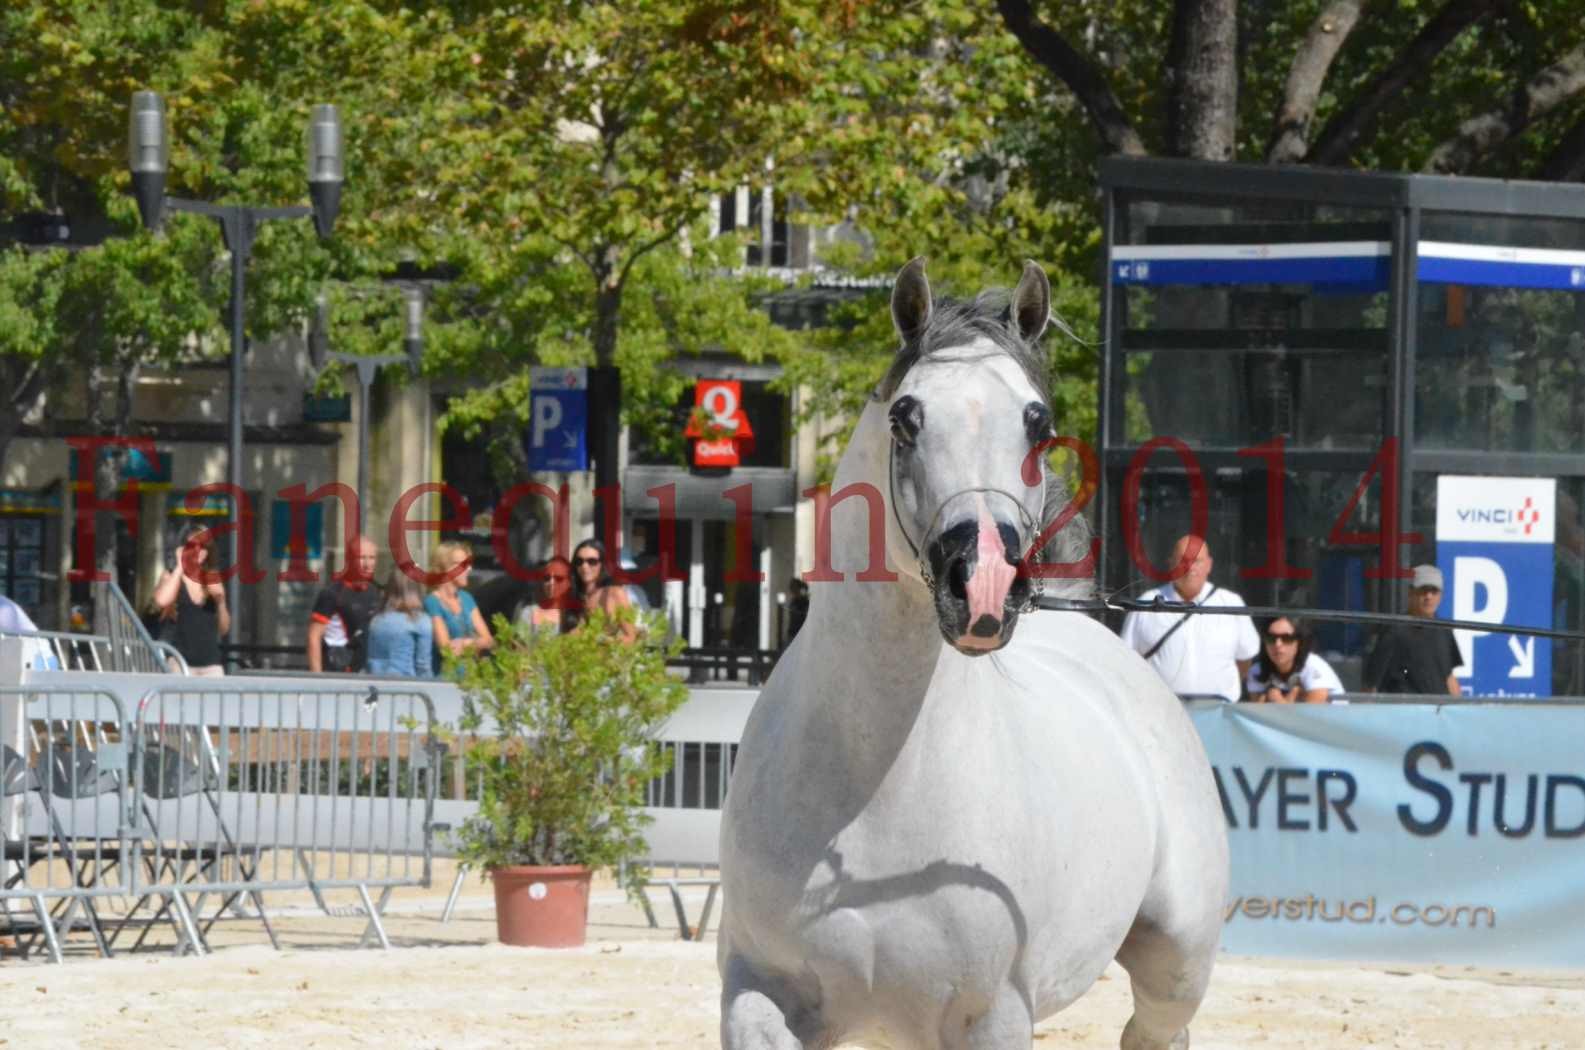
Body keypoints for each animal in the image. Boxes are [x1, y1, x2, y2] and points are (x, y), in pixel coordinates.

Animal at [719, 261, 1223, 1050]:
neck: (872, 792)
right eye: (906, 417)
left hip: (1176, 966)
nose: (983, 582)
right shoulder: (758, 988)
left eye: (1037, 422)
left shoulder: (992, 1016)